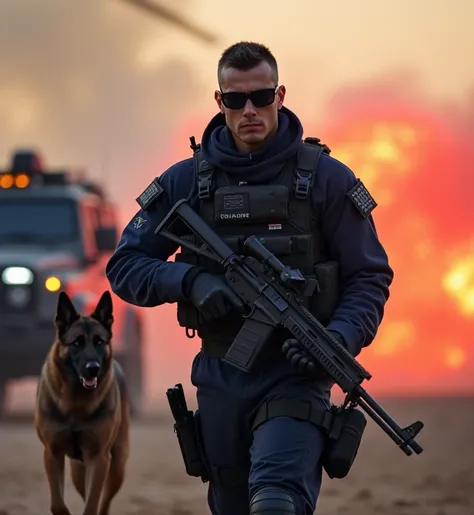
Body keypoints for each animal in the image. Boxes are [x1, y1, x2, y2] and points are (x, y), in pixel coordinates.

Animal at [33, 290, 130, 515]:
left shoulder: (99, 457)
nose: (93, 368)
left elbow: (92, 503)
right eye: (76, 342)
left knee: (103, 501)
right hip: (78, 469)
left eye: (99, 342)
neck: (75, 402)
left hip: (117, 466)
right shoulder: (52, 454)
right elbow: (57, 504)